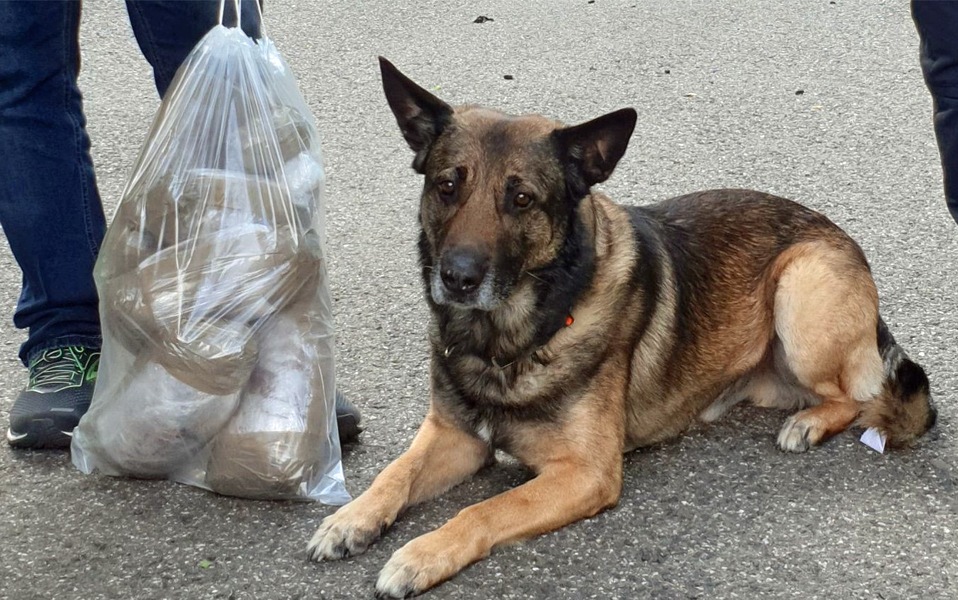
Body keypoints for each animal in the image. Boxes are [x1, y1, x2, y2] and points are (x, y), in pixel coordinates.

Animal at [308, 57, 936, 596]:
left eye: (521, 198)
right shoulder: (453, 435)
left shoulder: (585, 474)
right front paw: (351, 517)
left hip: (800, 285)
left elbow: (482, 509)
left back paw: (810, 423)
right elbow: (395, 473)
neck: (509, 340)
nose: (457, 277)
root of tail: (837, 234)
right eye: (446, 186)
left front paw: (420, 554)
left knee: (859, 394)